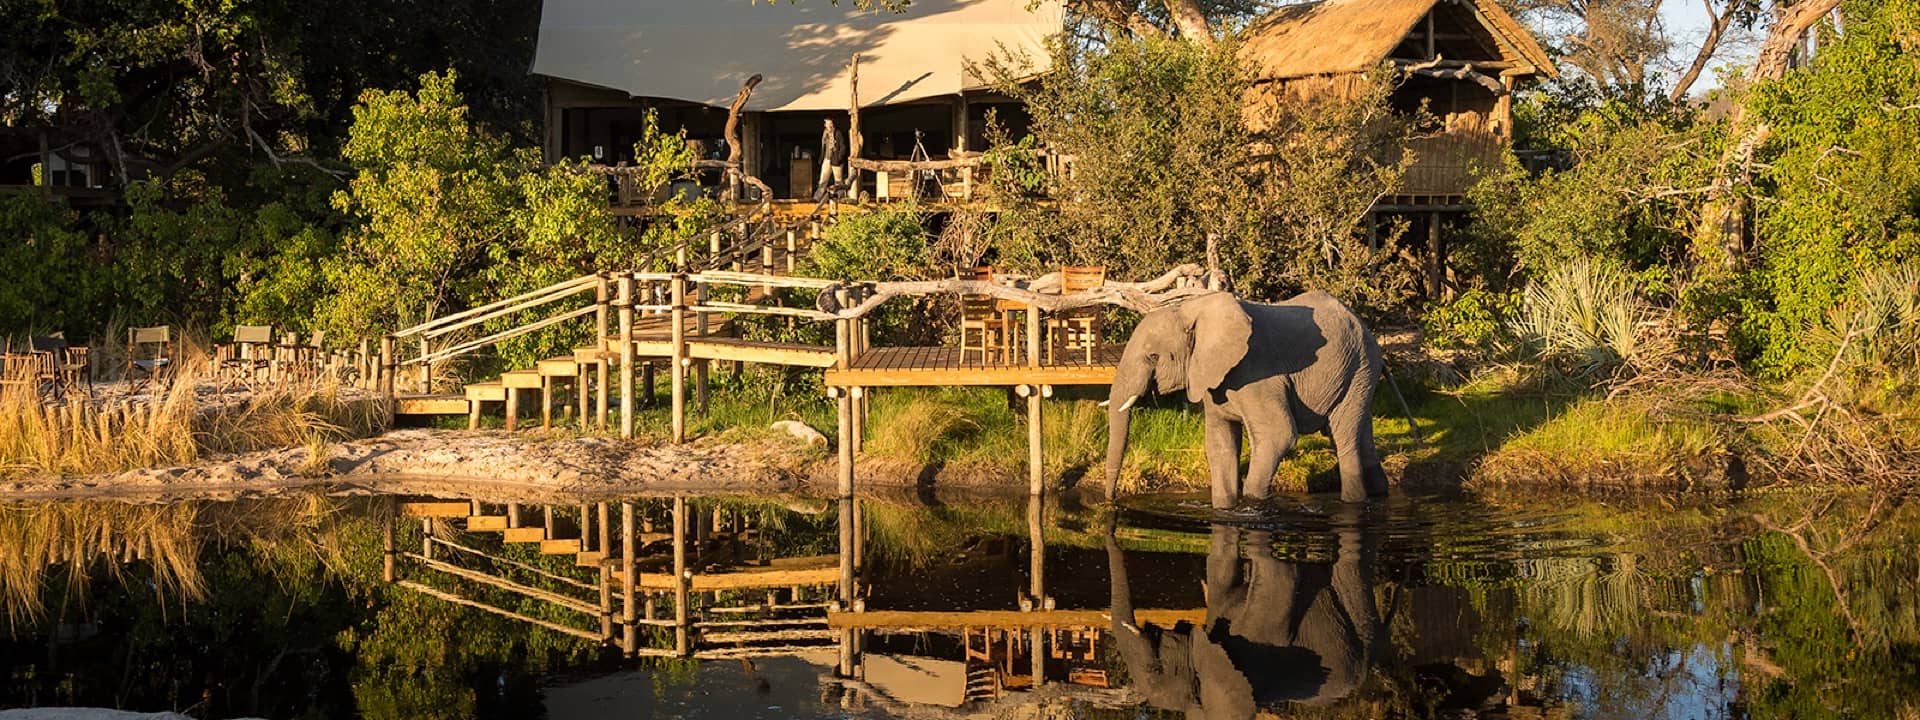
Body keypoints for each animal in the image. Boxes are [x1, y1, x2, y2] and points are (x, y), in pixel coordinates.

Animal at [1103, 290, 1387, 507]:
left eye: (1153, 356)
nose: (1111, 501)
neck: (1193, 309)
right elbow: (1220, 444)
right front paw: (1224, 509)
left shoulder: (1257, 374)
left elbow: (1278, 436)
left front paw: (1253, 505)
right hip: (1358, 372)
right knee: (1362, 435)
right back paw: (1377, 494)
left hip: (1359, 367)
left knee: (1344, 435)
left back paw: (1353, 502)